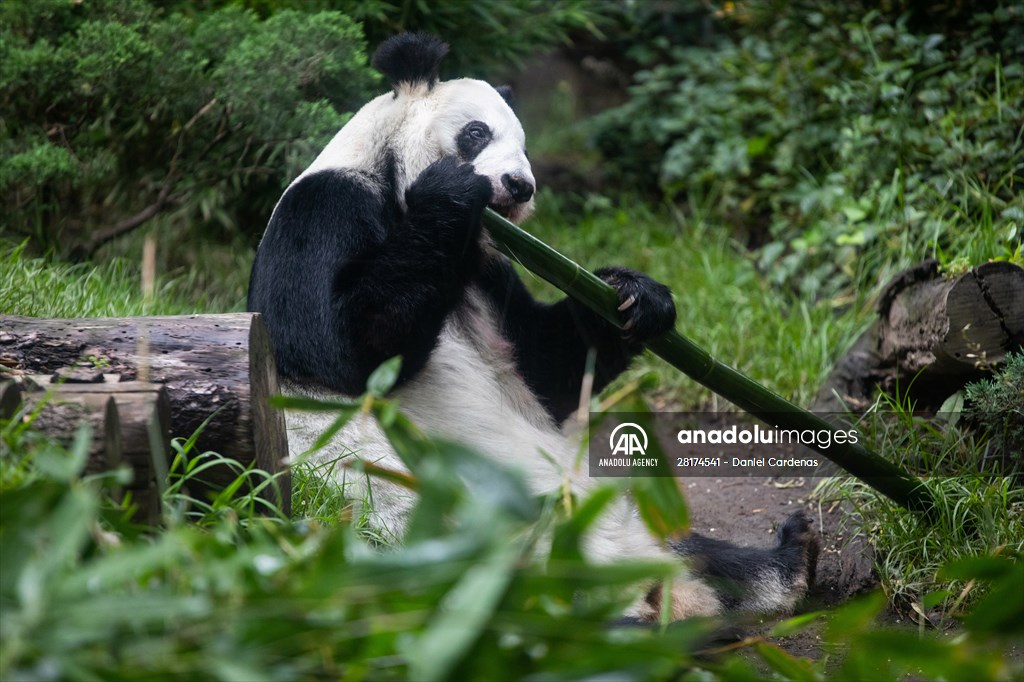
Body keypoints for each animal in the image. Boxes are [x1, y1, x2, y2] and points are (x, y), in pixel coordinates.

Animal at [247, 31, 815, 618]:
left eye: (524, 146)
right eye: (477, 133)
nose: (519, 186)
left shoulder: (490, 269)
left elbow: (547, 369)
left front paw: (636, 297)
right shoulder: (328, 209)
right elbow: (341, 350)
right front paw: (450, 190)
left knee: (694, 551)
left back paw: (787, 561)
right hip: (433, 528)